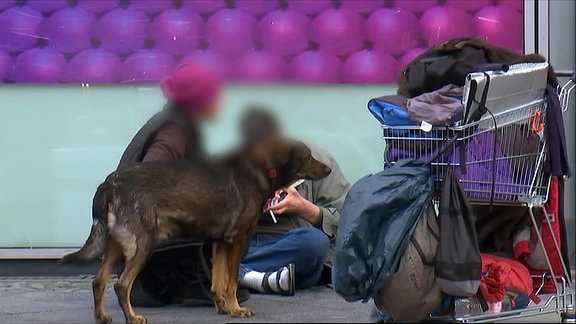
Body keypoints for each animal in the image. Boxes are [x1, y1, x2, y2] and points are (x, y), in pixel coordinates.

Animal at [60, 139, 330, 324]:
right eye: (307, 156)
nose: (328, 169)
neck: (261, 169)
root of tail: (109, 183)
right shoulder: (238, 240)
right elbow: (231, 281)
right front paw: (237, 309)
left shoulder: (220, 242)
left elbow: (218, 281)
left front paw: (223, 308)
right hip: (142, 245)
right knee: (121, 285)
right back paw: (133, 318)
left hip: (116, 244)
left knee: (99, 281)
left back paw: (102, 316)